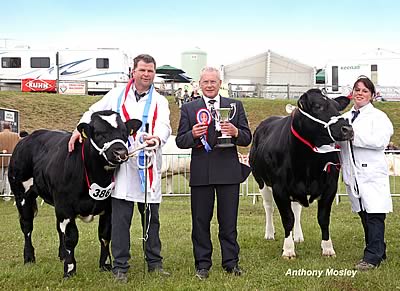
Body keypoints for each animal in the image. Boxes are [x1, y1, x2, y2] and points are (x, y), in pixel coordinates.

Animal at [7, 110, 142, 278]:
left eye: (124, 133)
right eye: (99, 133)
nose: (120, 153)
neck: (96, 175)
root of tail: (28, 136)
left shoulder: (108, 208)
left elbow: (104, 235)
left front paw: (105, 265)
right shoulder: (65, 208)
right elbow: (71, 237)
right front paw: (70, 269)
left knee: (58, 229)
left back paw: (62, 255)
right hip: (22, 195)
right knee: (27, 226)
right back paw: (29, 258)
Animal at [250, 89, 354, 260]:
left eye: (338, 108)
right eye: (318, 106)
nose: (348, 130)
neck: (308, 164)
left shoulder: (330, 187)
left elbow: (323, 218)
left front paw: (327, 248)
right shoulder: (279, 189)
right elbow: (287, 219)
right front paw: (288, 250)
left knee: (296, 209)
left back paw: (298, 236)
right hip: (261, 181)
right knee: (268, 206)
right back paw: (270, 233)